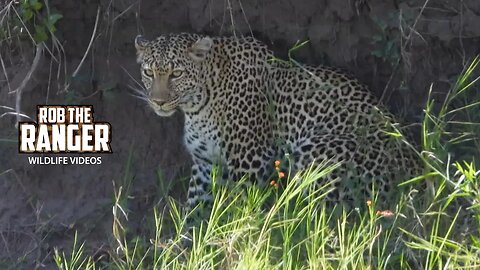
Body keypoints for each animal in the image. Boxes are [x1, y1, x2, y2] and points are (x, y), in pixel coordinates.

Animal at [134, 32, 420, 213]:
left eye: (177, 74)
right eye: (148, 72)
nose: (158, 102)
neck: (198, 104)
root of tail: (414, 176)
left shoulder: (249, 161)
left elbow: (240, 209)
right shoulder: (205, 164)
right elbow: (194, 212)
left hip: (317, 153)